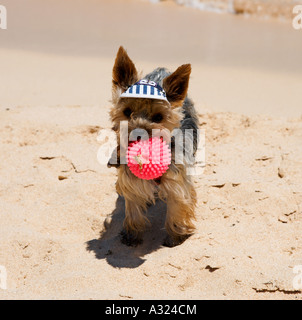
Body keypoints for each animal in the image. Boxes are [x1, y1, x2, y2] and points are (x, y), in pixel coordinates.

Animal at [108, 47, 198, 248]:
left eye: (158, 117)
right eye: (127, 112)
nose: (138, 134)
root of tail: (161, 70)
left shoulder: (177, 180)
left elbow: (177, 205)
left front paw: (175, 236)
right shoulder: (131, 181)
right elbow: (133, 206)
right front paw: (132, 234)